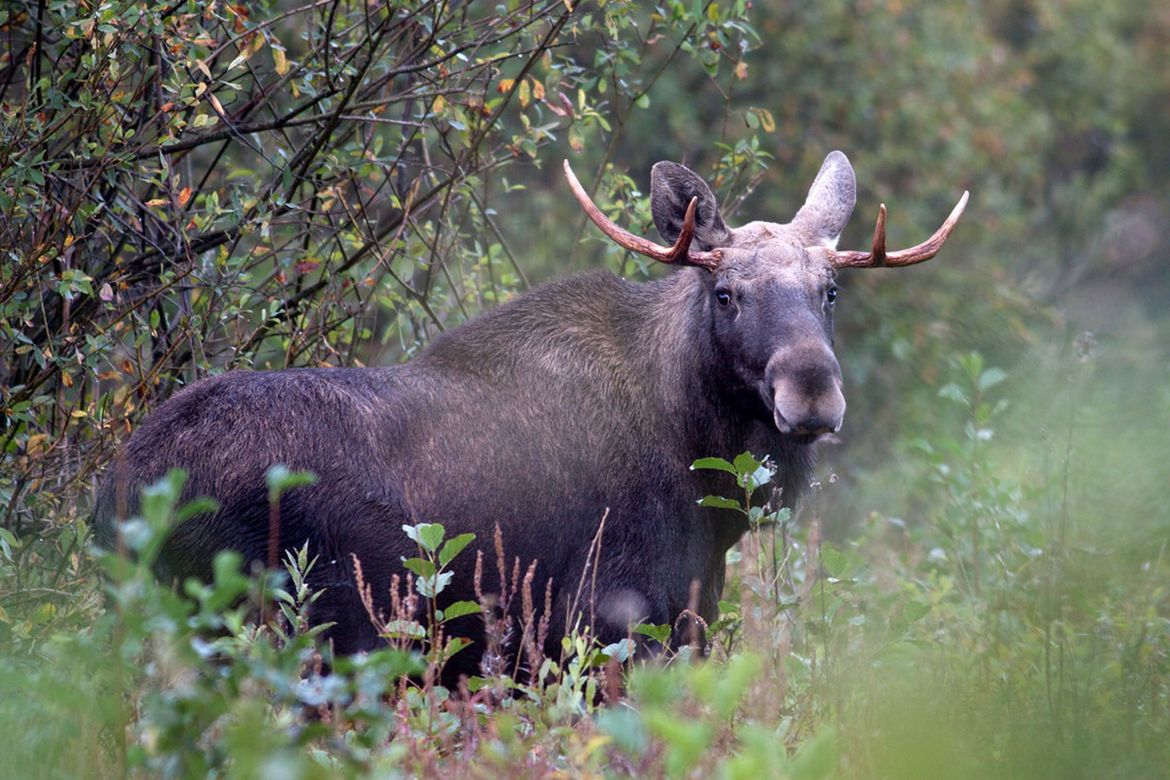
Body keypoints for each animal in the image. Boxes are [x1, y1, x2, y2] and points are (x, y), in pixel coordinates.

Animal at [93, 149, 968, 678]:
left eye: (830, 290)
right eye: (726, 293)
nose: (811, 390)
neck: (704, 472)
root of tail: (114, 500)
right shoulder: (609, 625)